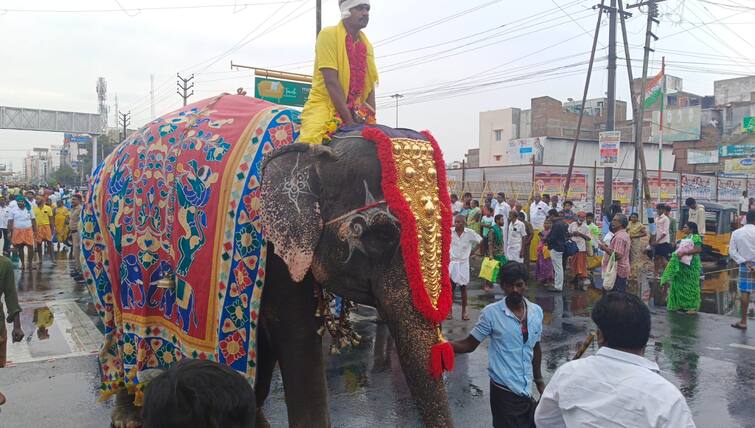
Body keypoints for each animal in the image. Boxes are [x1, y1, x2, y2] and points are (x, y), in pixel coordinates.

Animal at [83, 94, 460, 428]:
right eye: (381, 234)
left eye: (450, 226)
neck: (319, 142)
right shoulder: (270, 242)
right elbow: (297, 334)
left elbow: (268, 340)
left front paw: (255, 418)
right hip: (101, 245)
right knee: (117, 328)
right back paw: (127, 415)